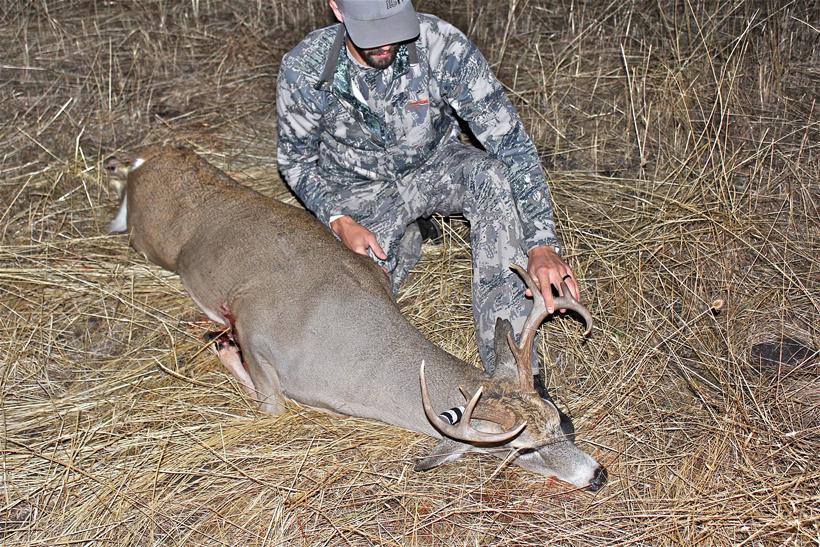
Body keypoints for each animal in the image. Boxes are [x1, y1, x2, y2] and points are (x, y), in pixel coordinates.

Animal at [105, 144, 607, 491]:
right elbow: (273, 404)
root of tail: (147, 159)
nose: (596, 474)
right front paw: (222, 343)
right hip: (150, 242)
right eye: (521, 452)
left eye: (560, 419)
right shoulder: (255, 326)